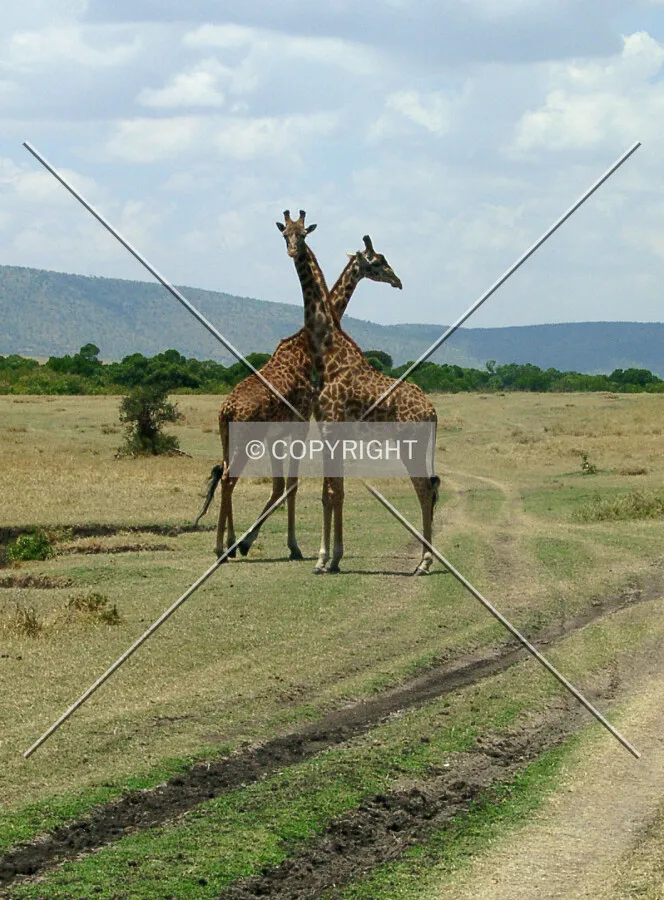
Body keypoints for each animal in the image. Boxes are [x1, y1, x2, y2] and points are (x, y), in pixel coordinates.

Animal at [196, 228, 403, 561]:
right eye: (377, 261)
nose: (397, 280)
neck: (306, 345)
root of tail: (226, 409)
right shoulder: (301, 422)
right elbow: (290, 483)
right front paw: (290, 546)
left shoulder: (281, 432)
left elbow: (281, 484)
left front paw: (248, 541)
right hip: (247, 438)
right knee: (229, 478)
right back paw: (222, 545)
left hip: (228, 437)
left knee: (226, 476)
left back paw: (228, 542)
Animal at [276, 210, 440, 575]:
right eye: (285, 234)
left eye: (303, 234)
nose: (397, 280)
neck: (327, 351)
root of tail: (433, 411)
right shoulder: (328, 429)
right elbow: (332, 491)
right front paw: (331, 558)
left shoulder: (330, 427)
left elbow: (331, 492)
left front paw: (324, 559)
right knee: (432, 488)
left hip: (410, 443)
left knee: (425, 489)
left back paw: (424, 563)